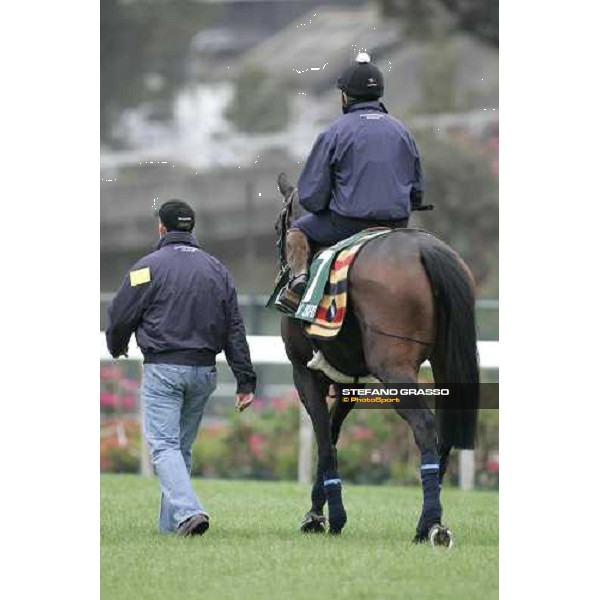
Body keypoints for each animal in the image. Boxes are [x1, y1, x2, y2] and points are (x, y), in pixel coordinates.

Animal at [274, 171, 480, 548]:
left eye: (281, 222)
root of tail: (425, 250)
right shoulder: (350, 383)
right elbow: (332, 436)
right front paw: (321, 511)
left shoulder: (303, 373)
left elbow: (324, 440)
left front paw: (324, 517)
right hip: (445, 363)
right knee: (444, 431)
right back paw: (429, 521)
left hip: (394, 369)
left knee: (424, 425)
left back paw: (431, 524)